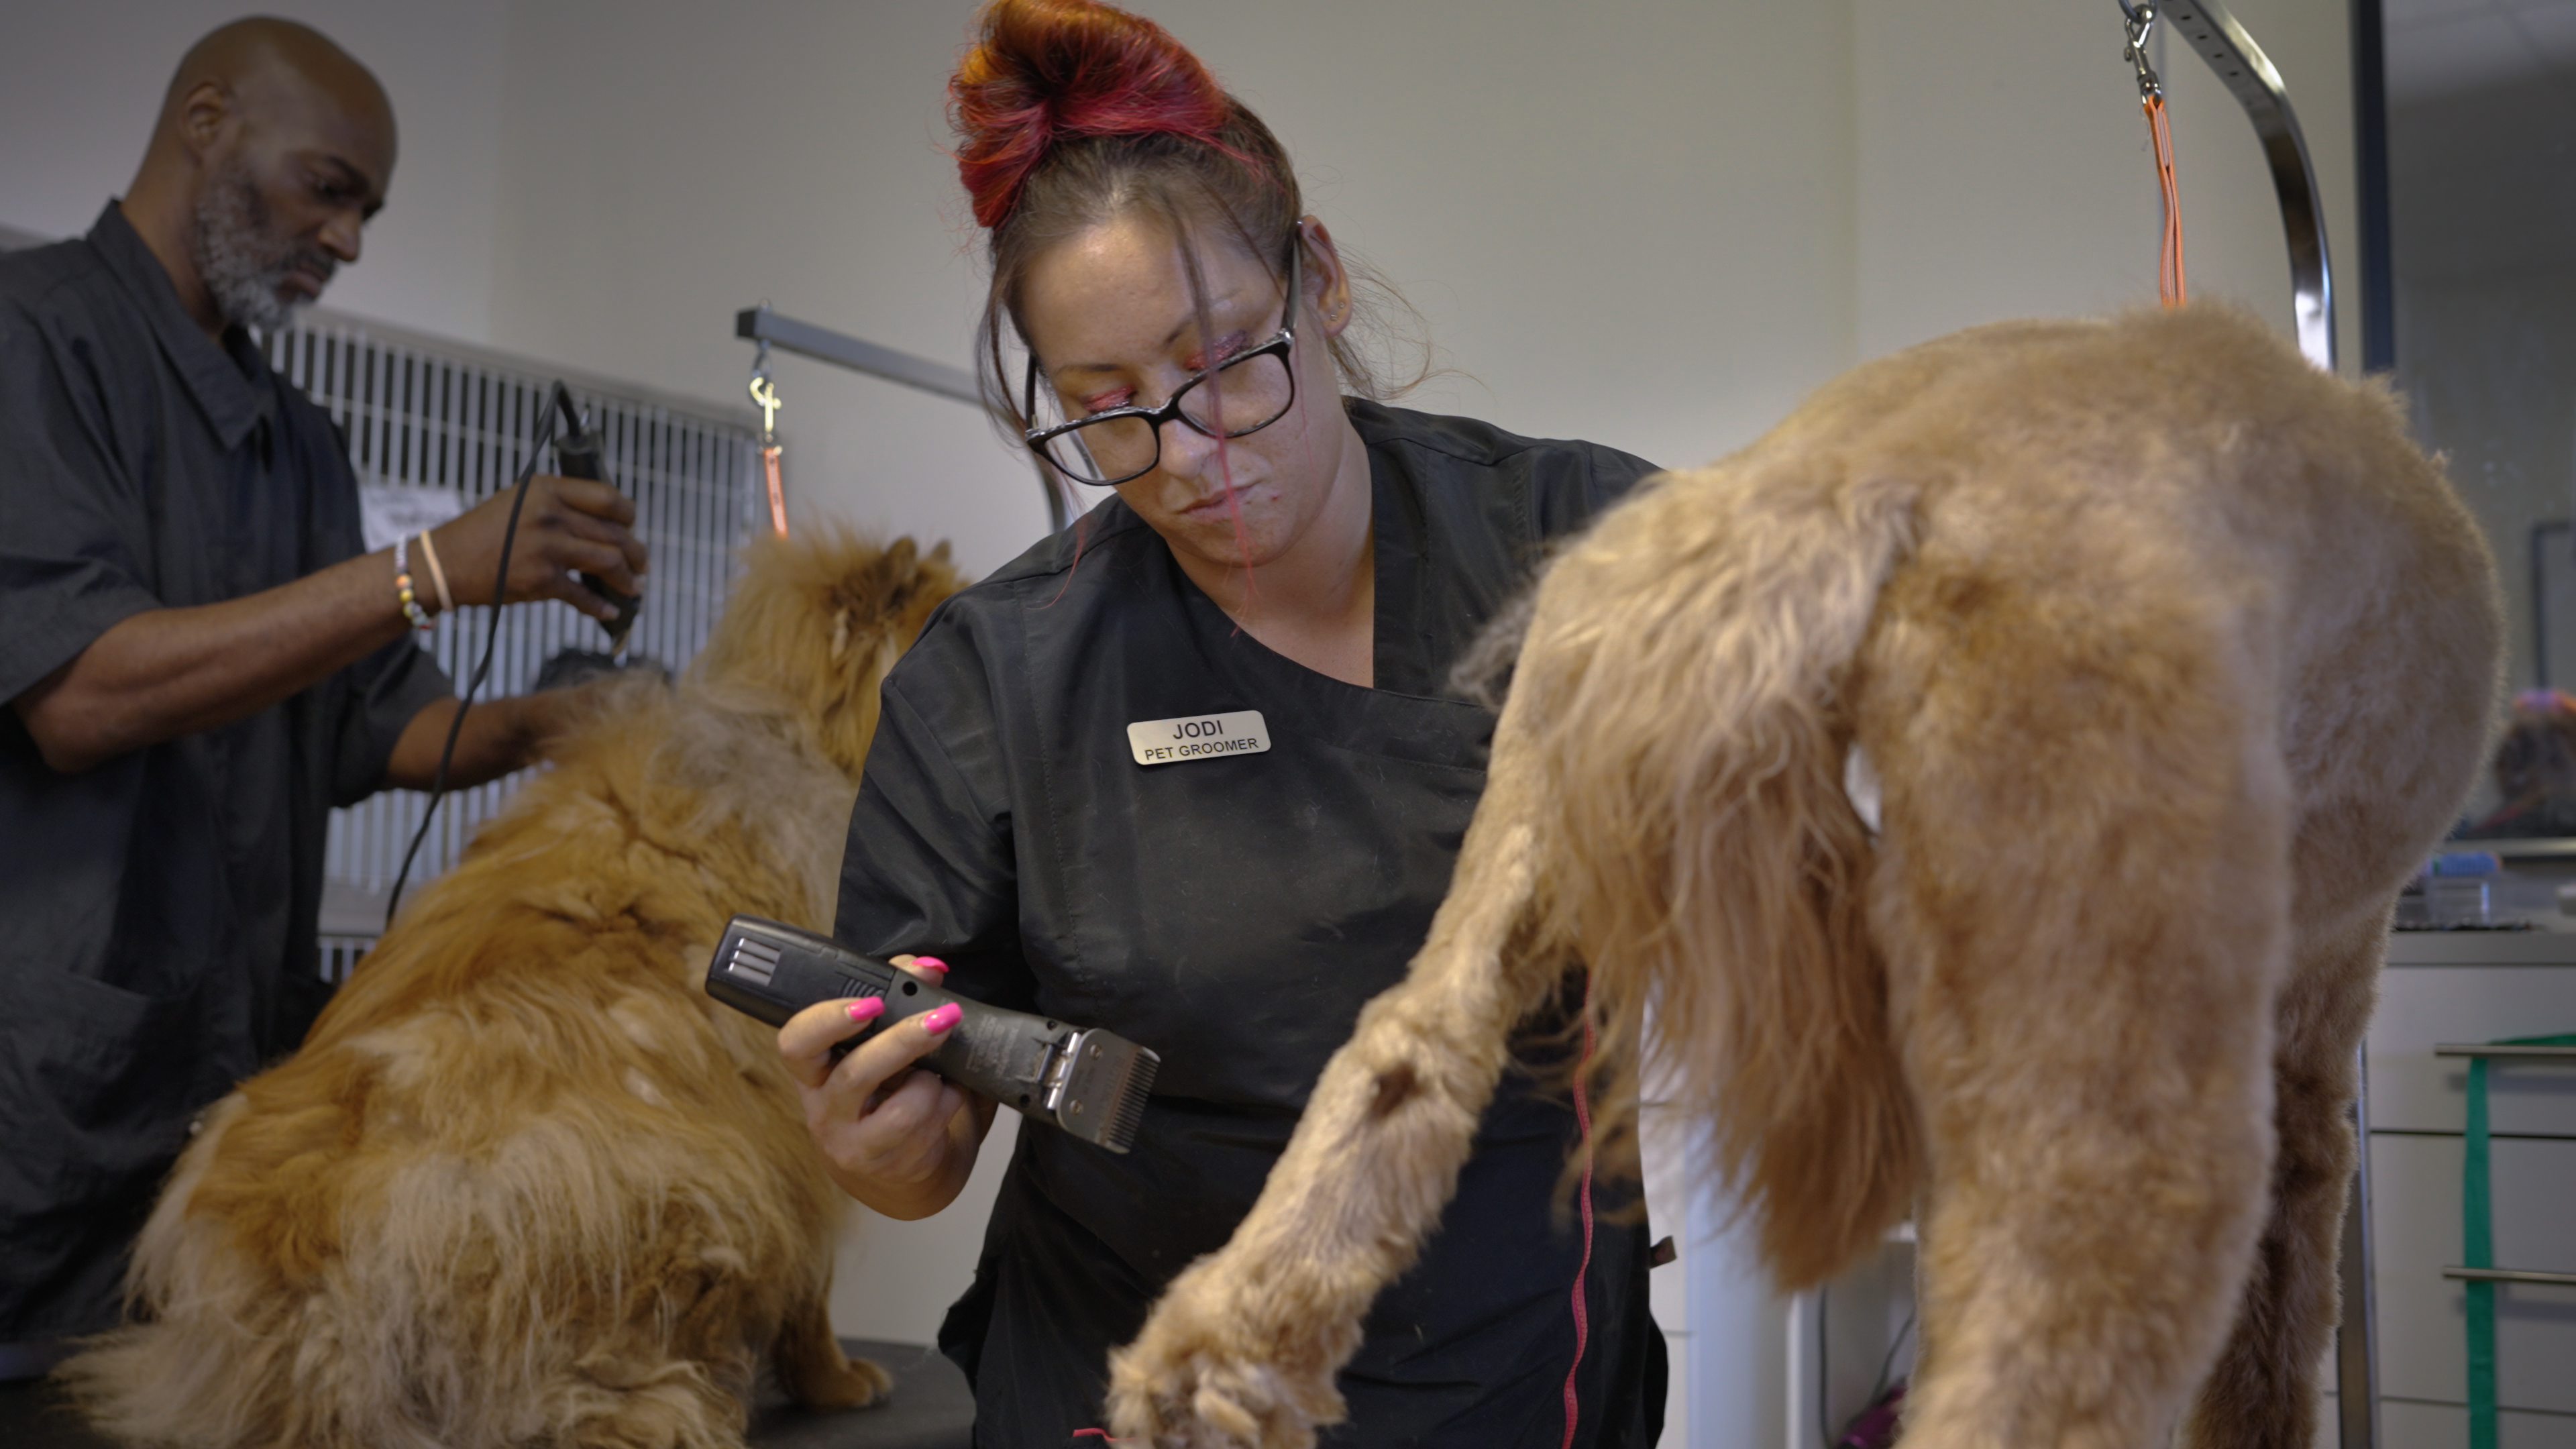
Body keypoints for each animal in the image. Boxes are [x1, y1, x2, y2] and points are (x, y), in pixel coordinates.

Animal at [62, 531, 968, 1444]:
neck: (788, 732)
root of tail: (314, 1317)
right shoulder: (800, 1119)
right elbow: (813, 1294)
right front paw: (838, 1380)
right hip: (688, 1180)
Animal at [1102, 307, 2493, 1444]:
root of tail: (1850, 482)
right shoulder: (2317, 1015)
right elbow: (2279, 1326)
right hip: (2127, 1102)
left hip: (1534, 823)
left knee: (1403, 1058)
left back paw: (1211, 1363)